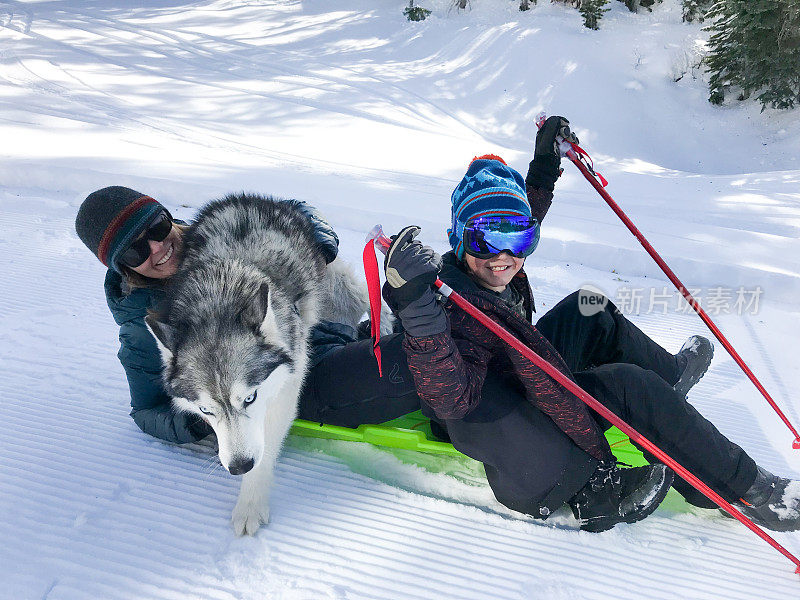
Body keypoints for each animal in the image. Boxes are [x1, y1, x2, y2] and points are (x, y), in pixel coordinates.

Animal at [147, 192, 390, 536]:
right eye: (206, 410)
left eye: (250, 398)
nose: (239, 467)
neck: (219, 295)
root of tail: (252, 197)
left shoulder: (284, 391)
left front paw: (250, 503)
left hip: (334, 285)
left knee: (368, 299)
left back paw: (384, 325)